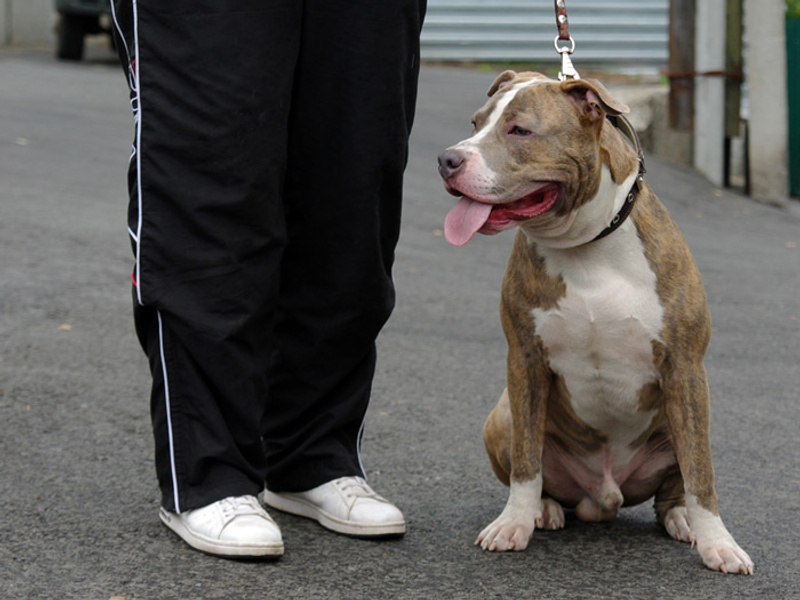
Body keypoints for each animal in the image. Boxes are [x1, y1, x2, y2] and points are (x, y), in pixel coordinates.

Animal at [437, 70, 753, 575]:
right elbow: (526, 463)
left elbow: (701, 475)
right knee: (535, 466)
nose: (448, 160)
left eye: (520, 130)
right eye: (476, 122)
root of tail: (604, 495)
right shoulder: (524, 360)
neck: (587, 247)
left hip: (682, 421)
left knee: (676, 483)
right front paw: (514, 523)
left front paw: (718, 544)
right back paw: (543, 510)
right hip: (500, 416)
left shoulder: (685, 368)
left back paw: (682, 519)